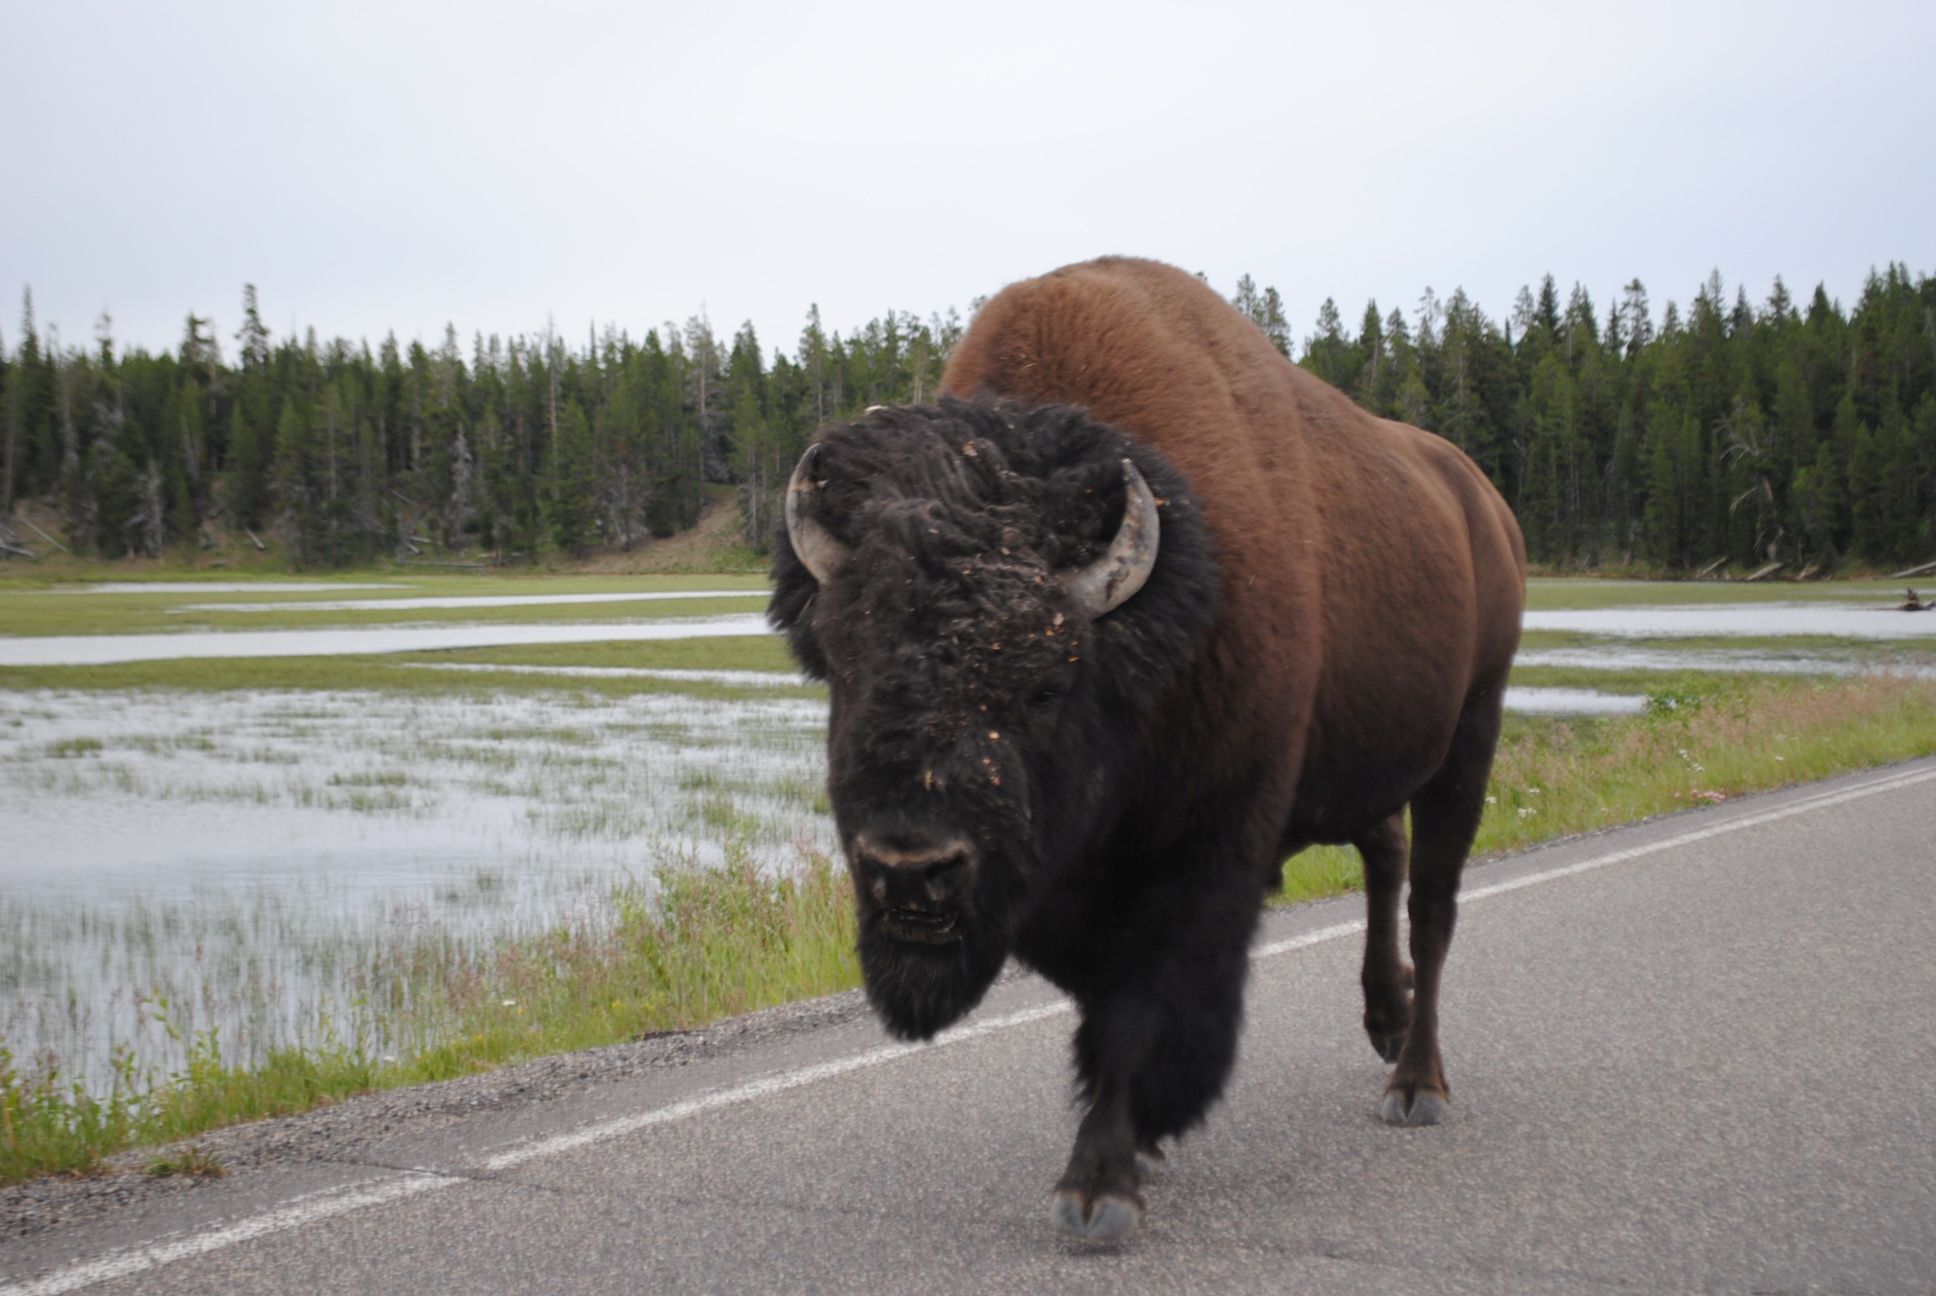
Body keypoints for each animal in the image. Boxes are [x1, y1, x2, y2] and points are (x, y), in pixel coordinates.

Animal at [770, 257, 1525, 1239]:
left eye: (1045, 682)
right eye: (843, 664)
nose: (910, 869)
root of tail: (1484, 503)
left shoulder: (1210, 848)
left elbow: (1142, 1007)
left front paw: (1102, 1187)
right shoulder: (1066, 886)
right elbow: (1101, 1005)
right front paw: (1133, 1148)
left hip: (1470, 736)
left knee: (1433, 908)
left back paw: (1416, 1081)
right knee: (1383, 851)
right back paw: (1384, 1020)